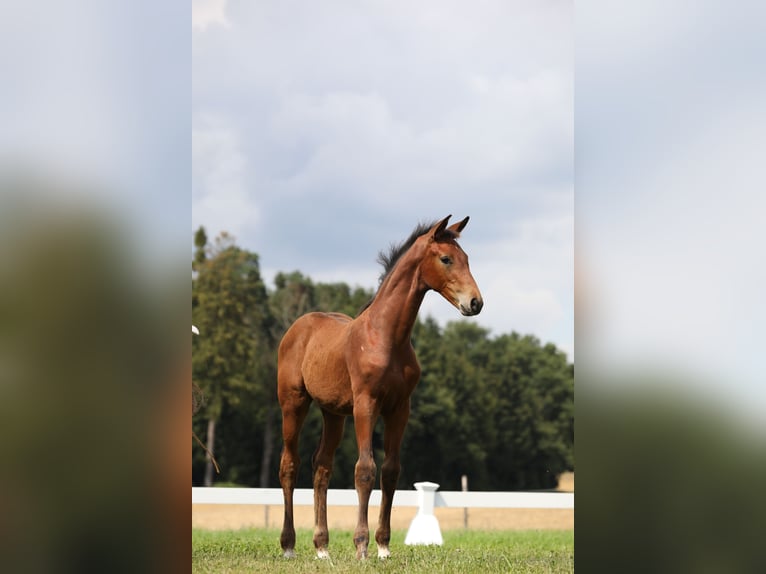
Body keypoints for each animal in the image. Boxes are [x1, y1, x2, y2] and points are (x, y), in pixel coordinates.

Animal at [277, 215, 483, 560]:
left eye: (467, 259)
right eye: (446, 259)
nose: (475, 302)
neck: (386, 337)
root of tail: (297, 327)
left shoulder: (400, 409)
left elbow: (390, 471)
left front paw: (383, 546)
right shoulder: (367, 404)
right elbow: (365, 469)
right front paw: (361, 546)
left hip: (333, 413)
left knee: (321, 466)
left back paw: (322, 548)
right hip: (293, 403)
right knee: (289, 465)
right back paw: (289, 546)